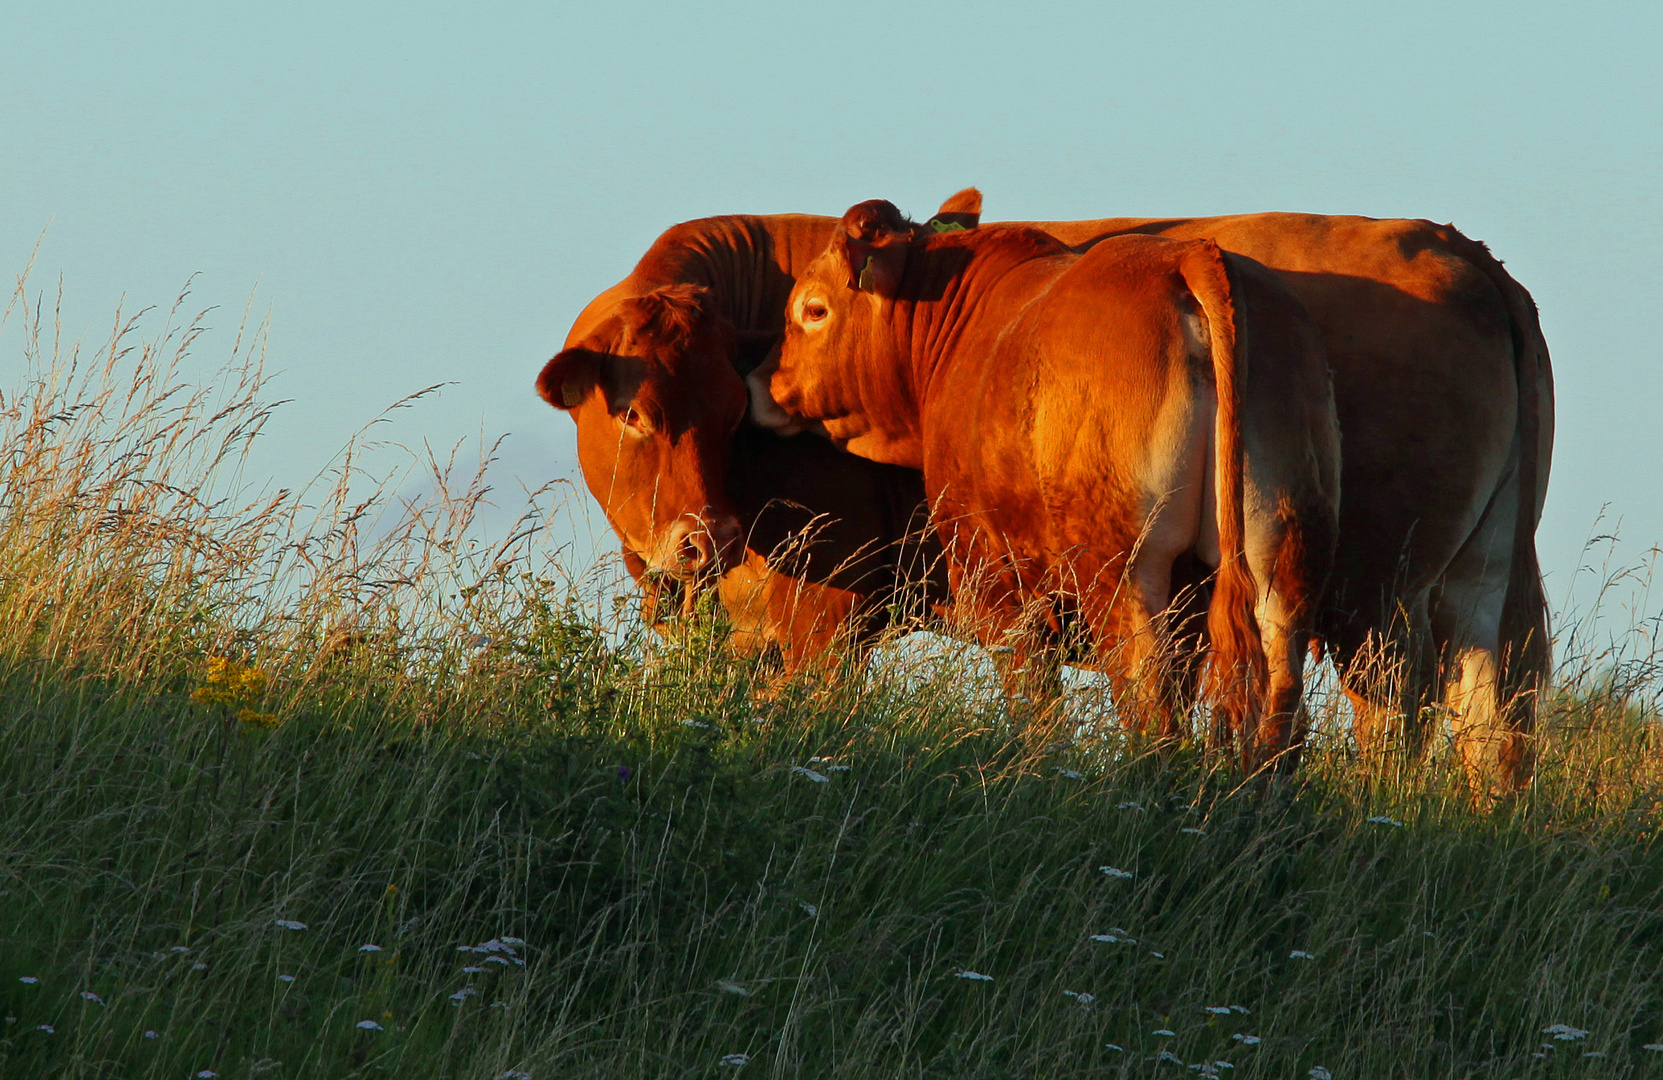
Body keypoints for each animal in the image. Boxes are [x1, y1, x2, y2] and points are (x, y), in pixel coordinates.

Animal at [748, 199, 1343, 765]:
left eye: (814, 309)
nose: (760, 380)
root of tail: (1190, 256)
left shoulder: (992, 574)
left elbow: (1033, 697)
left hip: (1122, 566)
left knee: (1146, 692)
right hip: (1284, 550)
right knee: (1277, 693)